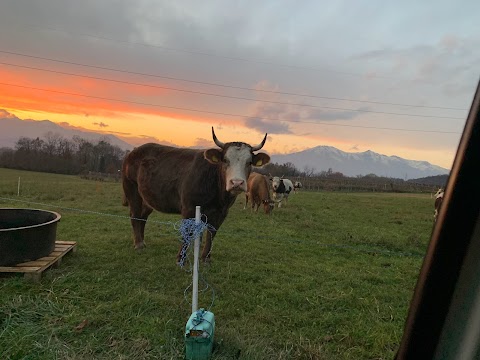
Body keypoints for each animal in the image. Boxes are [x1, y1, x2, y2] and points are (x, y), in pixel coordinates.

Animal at [121, 127, 270, 262]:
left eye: (249, 162)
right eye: (225, 160)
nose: (237, 183)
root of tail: (133, 152)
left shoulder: (222, 212)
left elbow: (211, 233)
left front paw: (206, 257)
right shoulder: (188, 208)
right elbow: (188, 232)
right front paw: (181, 258)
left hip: (148, 198)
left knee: (143, 216)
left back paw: (142, 241)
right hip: (132, 188)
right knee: (134, 215)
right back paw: (138, 243)